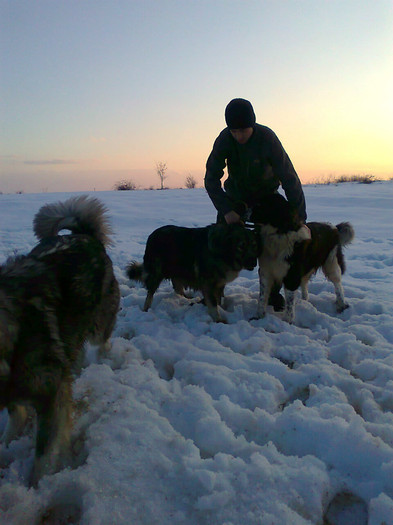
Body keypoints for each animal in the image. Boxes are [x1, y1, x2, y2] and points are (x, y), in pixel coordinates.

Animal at [0, 194, 119, 486]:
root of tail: (84, 234)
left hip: (98, 321)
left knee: (102, 341)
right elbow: (17, 415)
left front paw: (37, 486)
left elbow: (44, 454)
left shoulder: (51, 393)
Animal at [125, 221, 258, 320]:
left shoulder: (219, 283)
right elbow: (213, 304)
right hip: (156, 273)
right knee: (150, 294)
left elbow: (217, 299)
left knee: (177, 287)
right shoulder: (208, 283)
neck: (222, 250)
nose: (254, 263)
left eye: (253, 245)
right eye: (241, 246)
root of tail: (152, 235)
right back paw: (146, 310)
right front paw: (218, 320)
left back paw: (184, 298)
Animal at [251, 193, 356, 322]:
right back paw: (305, 301)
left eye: (260, 205)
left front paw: (287, 320)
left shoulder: (291, 274)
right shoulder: (266, 271)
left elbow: (289, 301)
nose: (245, 210)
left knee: (337, 284)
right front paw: (259, 316)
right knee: (305, 282)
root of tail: (334, 228)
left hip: (331, 263)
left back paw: (341, 305)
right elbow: (262, 297)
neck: (278, 234)